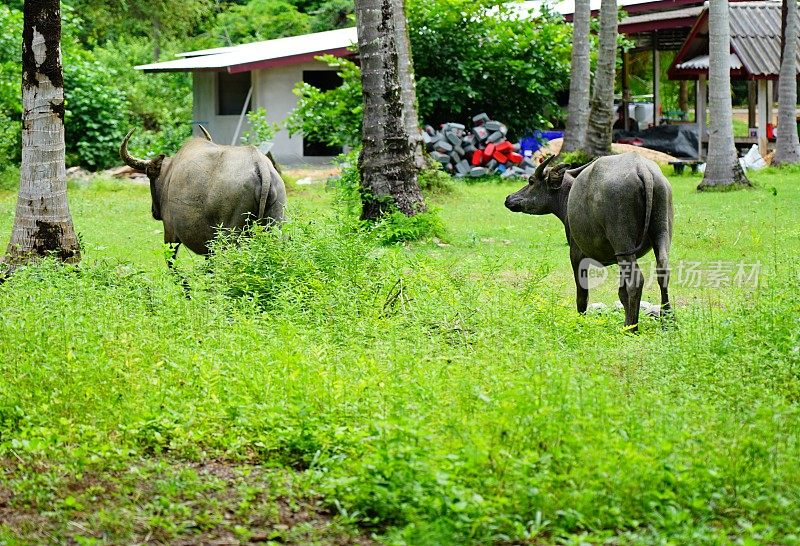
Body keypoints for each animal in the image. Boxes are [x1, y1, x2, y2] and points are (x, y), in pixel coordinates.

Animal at [116, 126, 284, 264]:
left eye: (150, 177)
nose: (153, 211)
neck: (169, 173)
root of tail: (259, 164)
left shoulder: (170, 232)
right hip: (274, 224)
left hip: (230, 236)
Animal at [506, 153, 676, 332]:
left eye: (531, 181)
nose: (509, 198)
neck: (568, 199)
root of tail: (641, 168)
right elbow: (621, 292)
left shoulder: (576, 254)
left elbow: (582, 295)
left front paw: (580, 324)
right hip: (660, 232)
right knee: (663, 270)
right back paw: (667, 321)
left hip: (622, 242)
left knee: (636, 281)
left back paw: (631, 328)